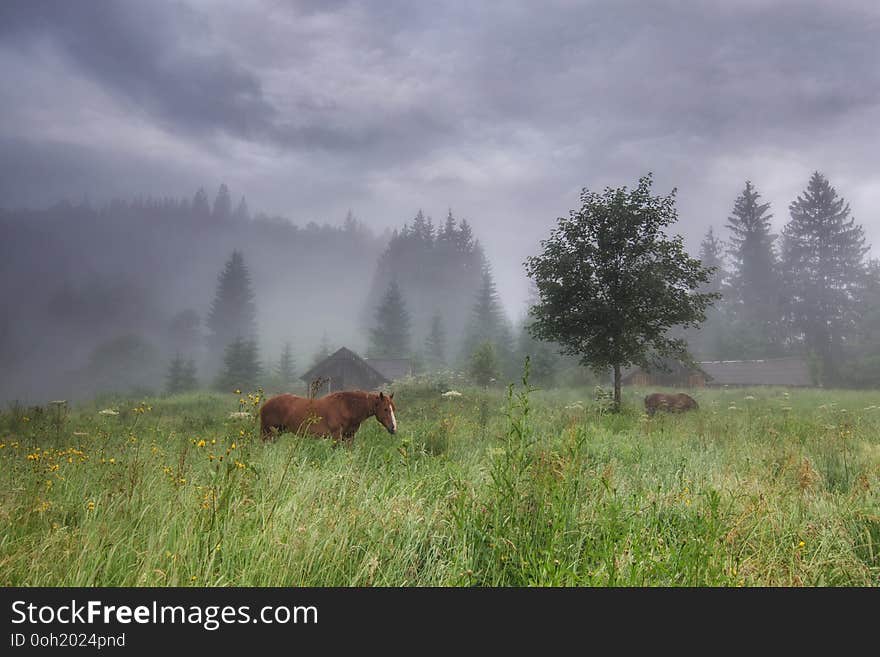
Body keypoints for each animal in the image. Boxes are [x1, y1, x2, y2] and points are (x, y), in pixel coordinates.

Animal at [260, 386, 398, 444]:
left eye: (393, 409)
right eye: (385, 409)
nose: (393, 428)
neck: (347, 407)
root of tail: (264, 405)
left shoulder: (349, 436)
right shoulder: (336, 435)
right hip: (269, 433)